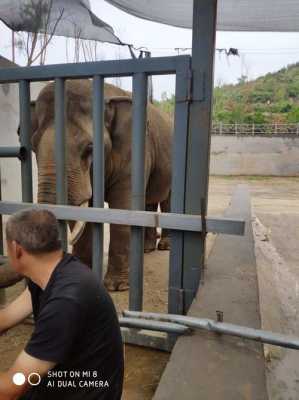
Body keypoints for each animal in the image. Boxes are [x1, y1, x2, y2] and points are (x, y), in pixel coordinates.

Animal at [19, 80, 173, 290]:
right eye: (33, 147)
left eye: (89, 148)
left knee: (167, 201)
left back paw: (165, 246)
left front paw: (116, 287)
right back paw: (146, 250)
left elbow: (122, 209)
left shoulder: (133, 152)